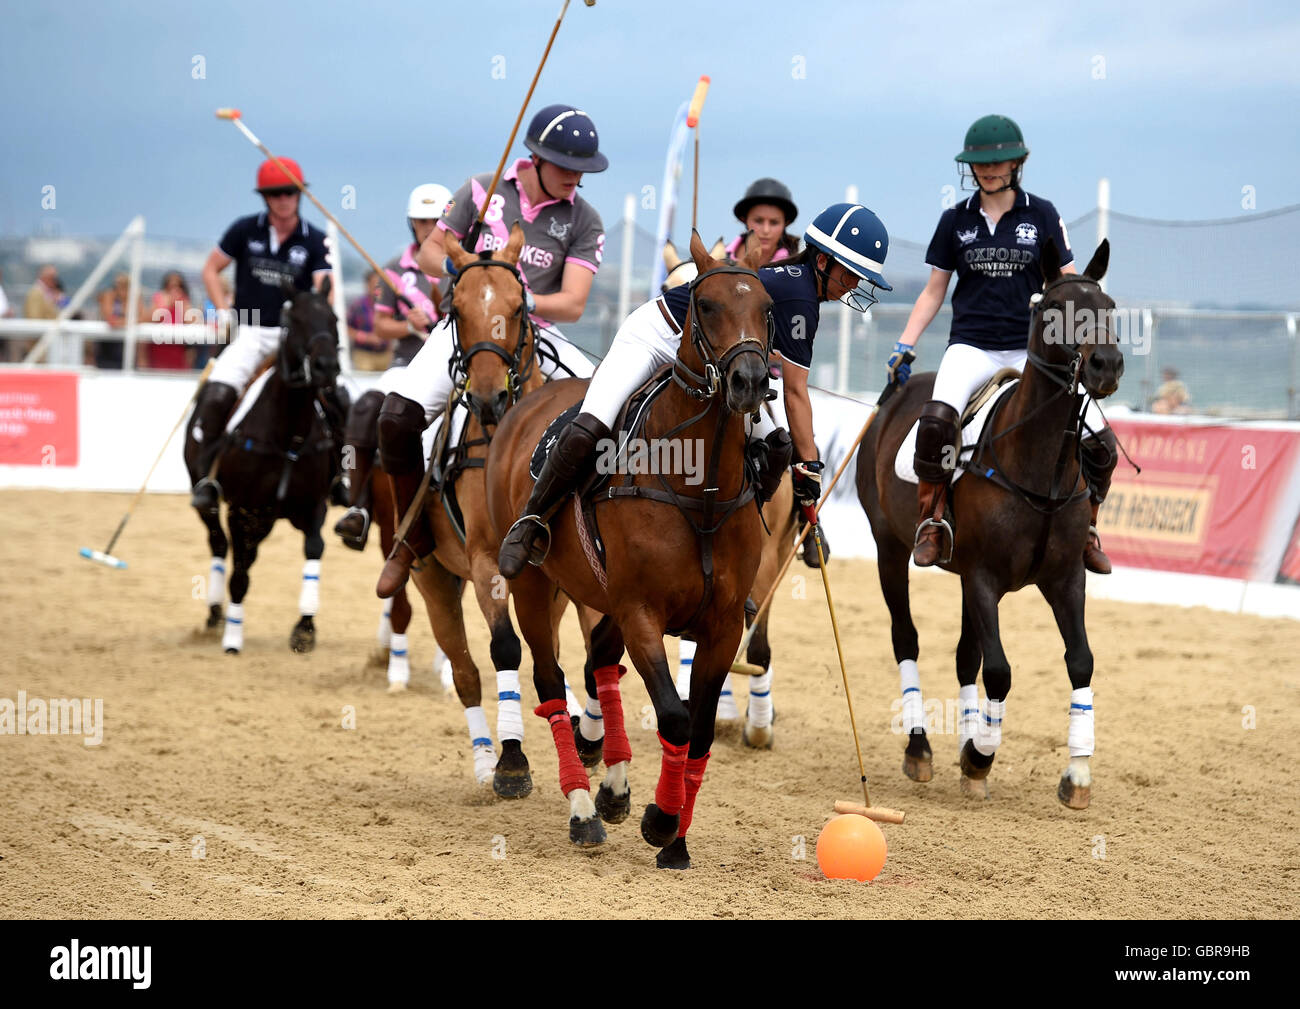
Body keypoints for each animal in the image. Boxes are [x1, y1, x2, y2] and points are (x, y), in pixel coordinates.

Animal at [192, 282, 345, 655]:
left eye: (334, 319)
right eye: (294, 321)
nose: (326, 366)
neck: (288, 433)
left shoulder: (312, 505)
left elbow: (314, 549)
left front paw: (304, 629)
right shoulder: (243, 509)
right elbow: (240, 571)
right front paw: (233, 637)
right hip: (213, 503)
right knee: (219, 544)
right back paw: (216, 616)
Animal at [486, 230, 769, 868]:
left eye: (767, 308)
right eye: (706, 305)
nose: (748, 381)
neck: (701, 487)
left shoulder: (721, 626)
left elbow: (702, 728)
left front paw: (676, 841)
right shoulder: (643, 612)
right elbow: (675, 716)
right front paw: (661, 822)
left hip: (603, 596)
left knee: (600, 666)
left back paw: (612, 787)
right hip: (534, 584)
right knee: (550, 683)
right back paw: (582, 811)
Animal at [857, 237, 1123, 811]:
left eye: (1110, 307)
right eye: (1054, 309)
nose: (1106, 365)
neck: (1041, 468)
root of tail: (893, 399)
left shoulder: (1065, 577)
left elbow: (1080, 661)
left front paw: (1076, 773)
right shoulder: (984, 577)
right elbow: (999, 670)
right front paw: (980, 757)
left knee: (964, 655)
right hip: (889, 546)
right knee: (906, 639)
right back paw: (921, 748)